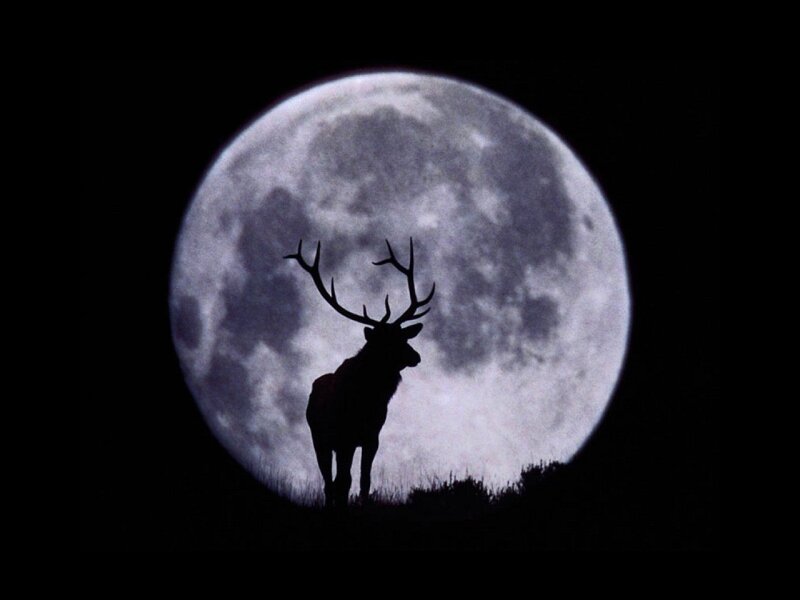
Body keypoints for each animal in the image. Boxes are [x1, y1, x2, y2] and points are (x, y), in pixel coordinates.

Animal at [284, 238, 435, 508]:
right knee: (330, 482)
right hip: (319, 439)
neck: (367, 400)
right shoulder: (344, 437)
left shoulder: (371, 437)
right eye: (385, 342)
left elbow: (365, 480)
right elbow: (343, 482)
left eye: (403, 336)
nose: (416, 356)